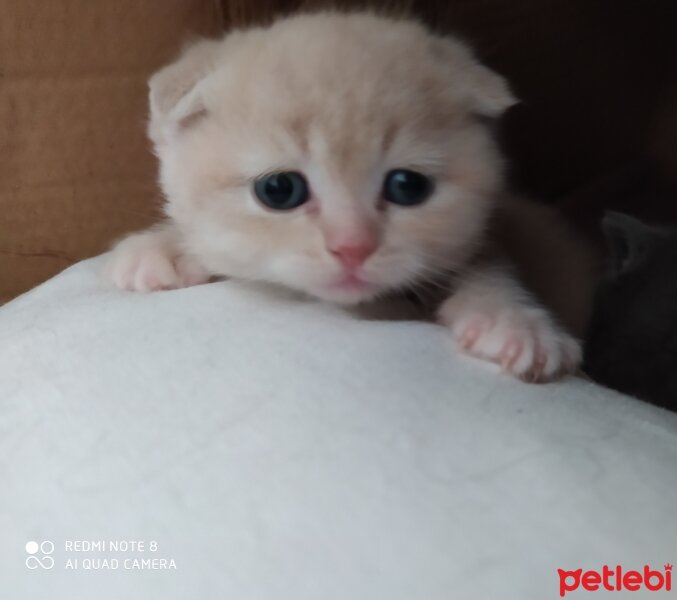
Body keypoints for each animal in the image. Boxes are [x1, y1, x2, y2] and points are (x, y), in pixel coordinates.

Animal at [104, 11, 592, 382]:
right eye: (279, 190)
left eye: (407, 186)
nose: (353, 247)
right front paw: (164, 249)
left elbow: (488, 264)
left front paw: (515, 321)